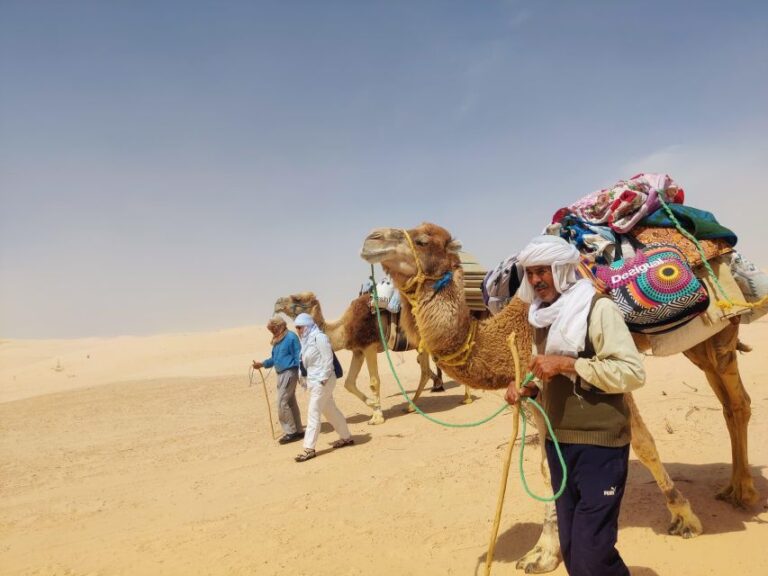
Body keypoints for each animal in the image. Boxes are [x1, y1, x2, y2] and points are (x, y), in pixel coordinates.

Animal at [272, 292, 472, 424]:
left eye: (297, 298)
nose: (277, 303)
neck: (345, 328)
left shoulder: (369, 346)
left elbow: (374, 382)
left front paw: (377, 417)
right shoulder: (358, 351)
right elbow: (349, 383)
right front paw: (373, 405)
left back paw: (467, 398)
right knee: (425, 371)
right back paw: (411, 407)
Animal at [360, 223, 756, 572]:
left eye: (423, 240)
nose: (371, 238)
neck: (519, 328)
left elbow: (643, 443)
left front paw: (685, 517)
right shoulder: (535, 394)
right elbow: (549, 465)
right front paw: (543, 553)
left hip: (722, 328)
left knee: (738, 403)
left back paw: (745, 493)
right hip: (701, 342)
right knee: (727, 402)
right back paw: (733, 487)